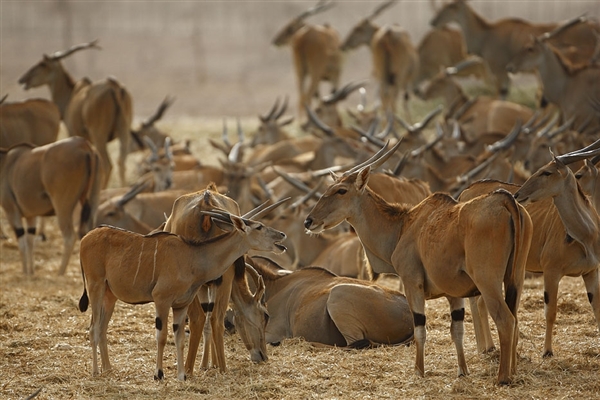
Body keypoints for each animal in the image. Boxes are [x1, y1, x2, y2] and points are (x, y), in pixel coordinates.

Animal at [0, 138, 103, 276]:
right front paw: (31, 272)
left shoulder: (11, 210)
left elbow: (22, 242)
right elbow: (30, 241)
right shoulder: (30, 216)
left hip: (63, 208)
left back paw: (60, 272)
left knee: (70, 236)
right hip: (92, 202)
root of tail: (85, 145)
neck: (5, 162)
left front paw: (25, 273)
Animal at [18, 39, 134, 187]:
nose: (22, 79)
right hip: (124, 131)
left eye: (42, 64)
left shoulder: (72, 132)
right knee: (121, 162)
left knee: (108, 164)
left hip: (99, 134)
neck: (71, 94)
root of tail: (114, 87)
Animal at [77, 209, 286, 382]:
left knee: (102, 328)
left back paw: (108, 369)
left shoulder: (181, 304)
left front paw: (182, 375)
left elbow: (180, 338)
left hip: (109, 296)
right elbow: (162, 336)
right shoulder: (161, 299)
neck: (192, 256)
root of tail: (85, 238)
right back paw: (95, 372)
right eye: (259, 227)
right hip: (95, 287)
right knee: (93, 328)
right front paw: (159, 374)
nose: (282, 235)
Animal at [304, 141, 536, 384]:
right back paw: (513, 371)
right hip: (515, 279)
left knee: (506, 320)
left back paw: (503, 377)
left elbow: (420, 329)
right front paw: (462, 371)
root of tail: (505, 201)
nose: (309, 221)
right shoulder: (454, 294)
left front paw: (418, 371)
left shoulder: (412, 284)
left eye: (341, 190)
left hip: (488, 282)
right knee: (515, 320)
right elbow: (457, 331)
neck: (403, 226)